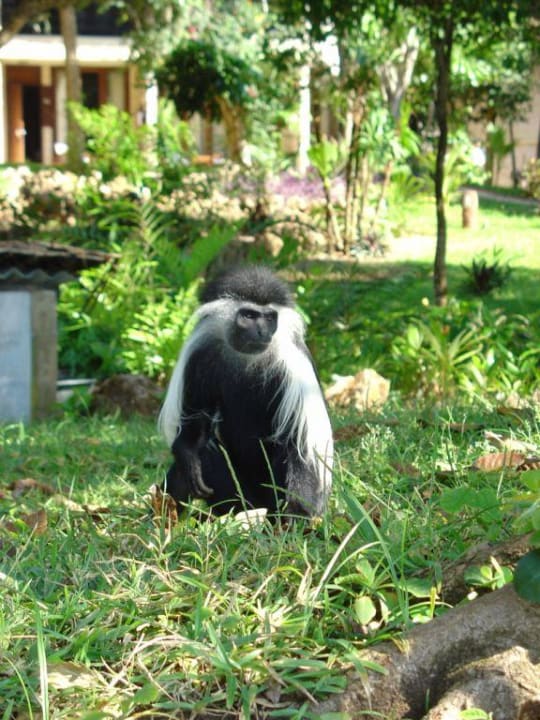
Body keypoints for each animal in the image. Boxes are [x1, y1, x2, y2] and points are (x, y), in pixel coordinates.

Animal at [158, 265, 333, 517]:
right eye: (249, 316)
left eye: (269, 318)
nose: (261, 332)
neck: (246, 358)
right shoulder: (200, 356)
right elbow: (195, 420)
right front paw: (189, 458)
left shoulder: (293, 369)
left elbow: (300, 445)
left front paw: (296, 513)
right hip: (234, 498)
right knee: (203, 454)